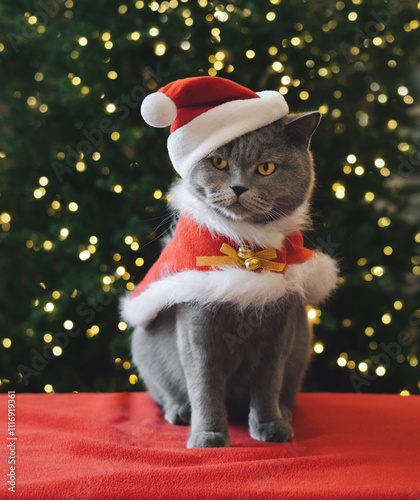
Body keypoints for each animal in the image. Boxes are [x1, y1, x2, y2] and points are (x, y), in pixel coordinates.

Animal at [124, 112, 338, 450]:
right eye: (218, 162)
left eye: (266, 168)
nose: (238, 187)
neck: (244, 243)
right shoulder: (197, 330)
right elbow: (205, 385)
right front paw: (208, 436)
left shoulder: (278, 332)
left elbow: (267, 383)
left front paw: (270, 426)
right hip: (143, 345)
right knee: (166, 393)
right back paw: (180, 412)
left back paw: (285, 413)